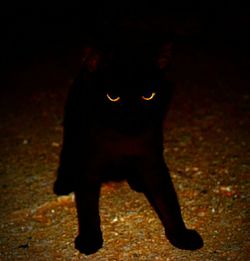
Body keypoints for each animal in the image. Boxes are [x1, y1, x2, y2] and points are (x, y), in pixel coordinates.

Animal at [52, 29, 203, 254]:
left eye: (148, 95)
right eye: (112, 97)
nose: (132, 115)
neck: (123, 137)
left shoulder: (153, 161)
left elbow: (168, 201)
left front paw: (181, 235)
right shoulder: (90, 165)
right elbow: (88, 207)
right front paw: (89, 239)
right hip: (72, 131)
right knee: (67, 154)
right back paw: (63, 183)